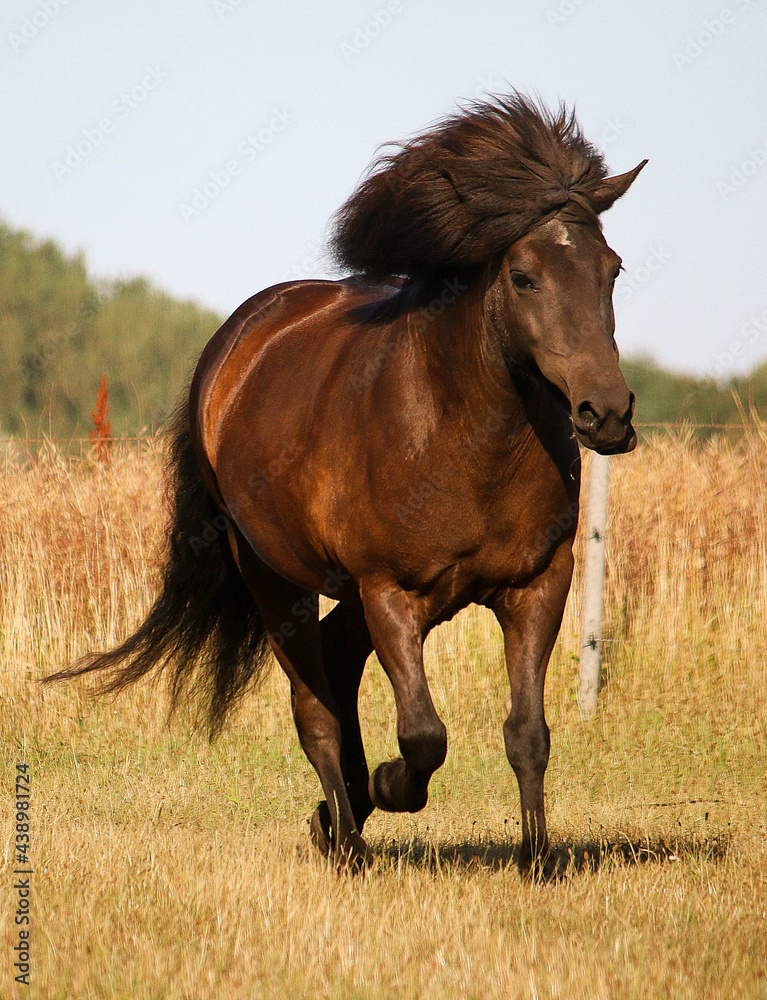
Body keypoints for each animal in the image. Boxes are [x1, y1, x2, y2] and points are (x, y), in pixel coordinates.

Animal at [48, 94, 646, 875]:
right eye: (523, 276)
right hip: (276, 580)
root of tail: (234, 344)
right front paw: (390, 786)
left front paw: (538, 858)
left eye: (612, 269)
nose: (605, 413)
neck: (457, 434)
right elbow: (422, 733)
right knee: (316, 708)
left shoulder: (537, 585)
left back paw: (338, 818)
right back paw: (348, 839)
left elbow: (527, 732)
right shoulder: (391, 591)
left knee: (337, 663)